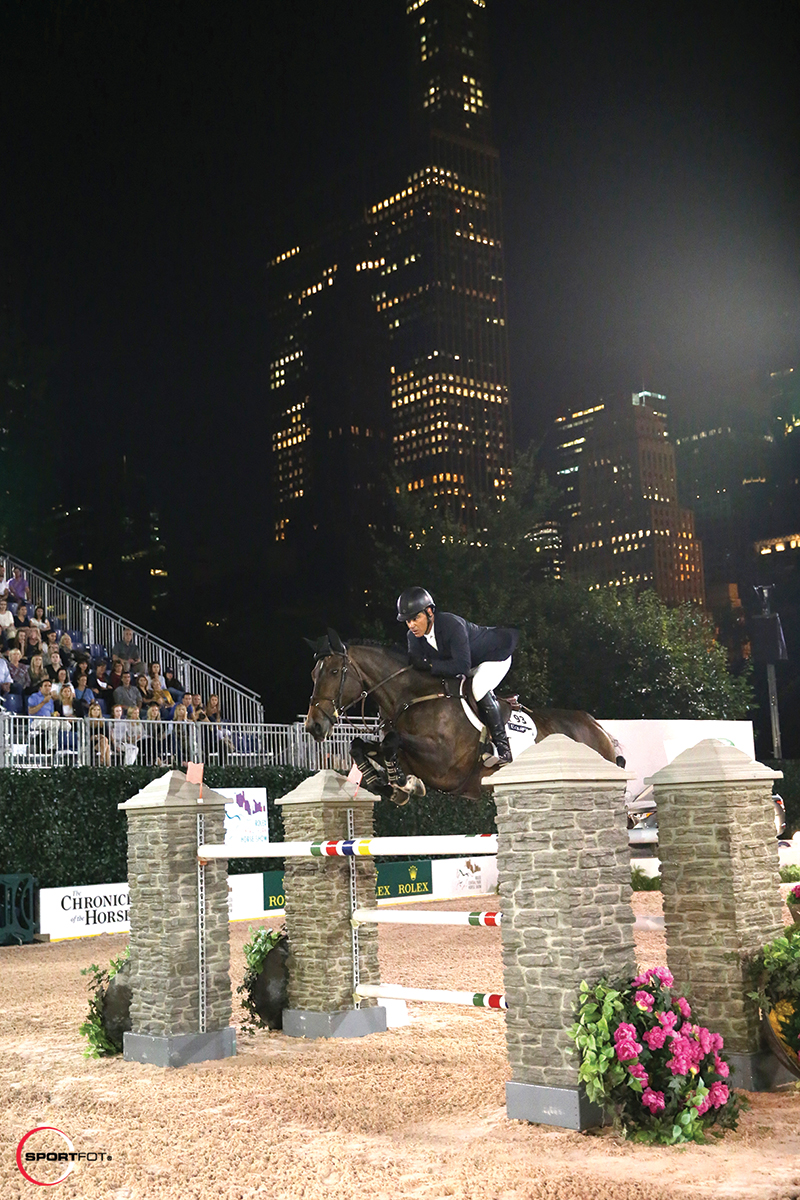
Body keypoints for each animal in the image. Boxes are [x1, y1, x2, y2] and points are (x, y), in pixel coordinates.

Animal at [303, 628, 623, 806]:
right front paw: (389, 784)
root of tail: (598, 727)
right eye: (313, 675)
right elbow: (362, 745)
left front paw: (402, 784)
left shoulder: (443, 762)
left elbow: (392, 740)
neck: (411, 698)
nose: (314, 726)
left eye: (334, 672)